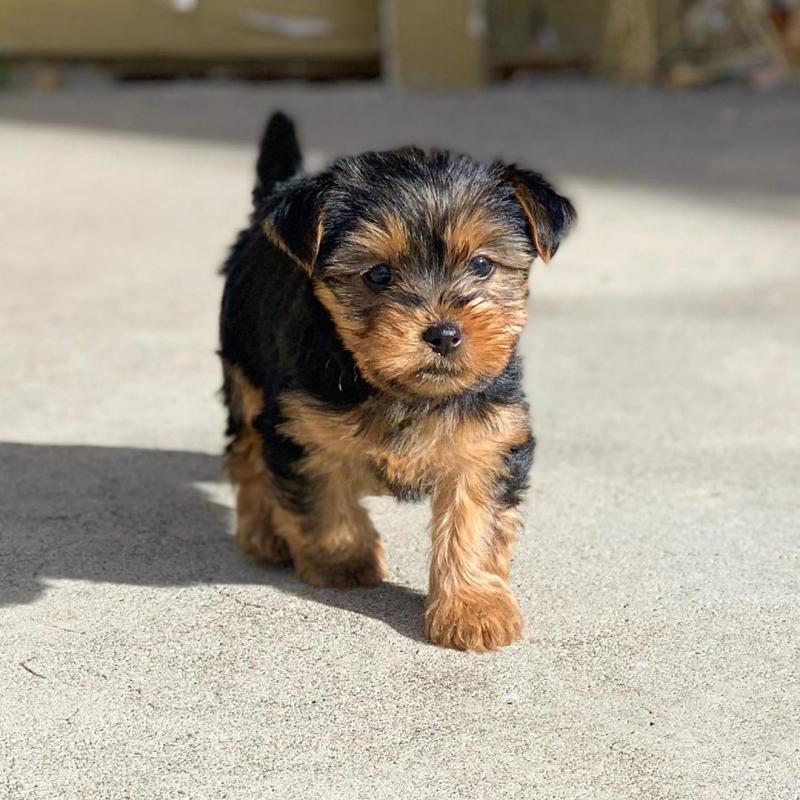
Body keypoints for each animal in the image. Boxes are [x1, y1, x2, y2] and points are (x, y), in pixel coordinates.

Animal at [219, 112, 576, 648]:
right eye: (379, 274)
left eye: (482, 265)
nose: (444, 333)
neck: (402, 390)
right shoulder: (300, 426)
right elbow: (323, 496)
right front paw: (343, 560)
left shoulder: (489, 439)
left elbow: (476, 522)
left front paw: (473, 608)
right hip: (245, 372)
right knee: (246, 454)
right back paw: (262, 533)